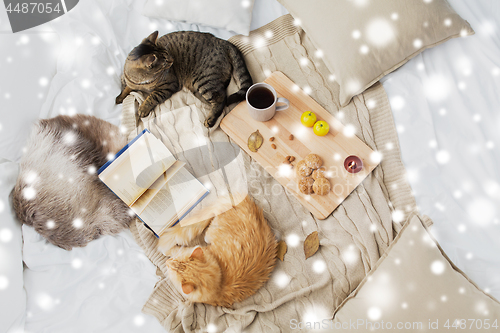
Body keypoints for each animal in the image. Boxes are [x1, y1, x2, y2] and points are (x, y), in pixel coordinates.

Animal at [115, 30, 252, 127]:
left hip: (202, 80)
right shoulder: (131, 83)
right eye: (165, 61)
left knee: (221, 98)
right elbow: (127, 89)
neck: (142, 82)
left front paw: (143, 108)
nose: (172, 60)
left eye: (167, 54)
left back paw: (210, 119)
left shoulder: (169, 85)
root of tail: (222, 41)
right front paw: (120, 98)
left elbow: (152, 97)